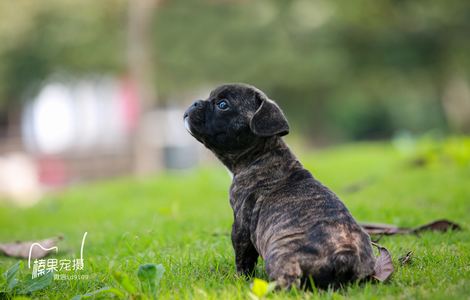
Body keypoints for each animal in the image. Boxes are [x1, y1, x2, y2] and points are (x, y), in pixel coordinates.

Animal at [183, 83, 374, 290]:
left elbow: (243, 257)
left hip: (279, 256)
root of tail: (344, 254)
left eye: (223, 105)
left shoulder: (241, 225)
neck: (263, 155)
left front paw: (240, 278)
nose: (195, 102)